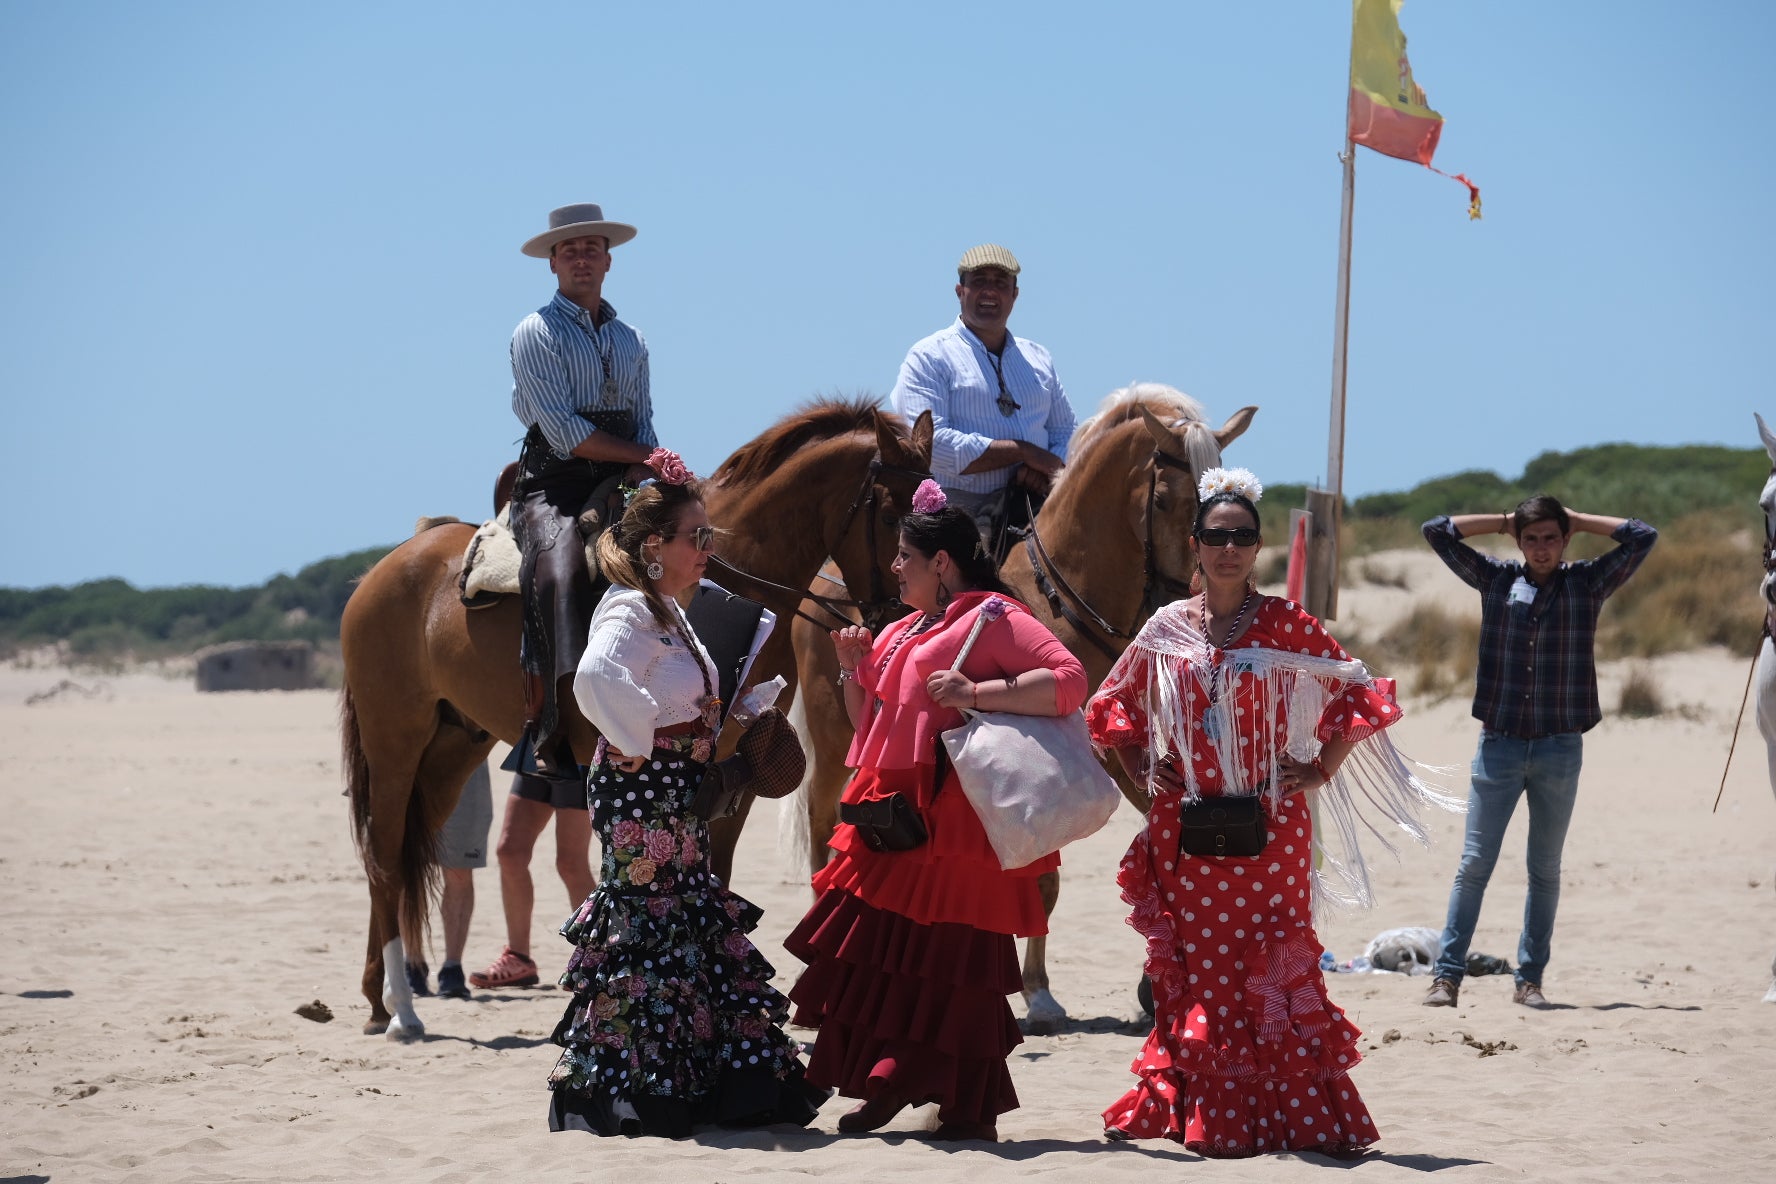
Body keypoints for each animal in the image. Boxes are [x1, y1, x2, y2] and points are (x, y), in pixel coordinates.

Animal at [337, 401, 937, 1036]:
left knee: (401, 855)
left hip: (451, 748)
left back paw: (379, 998)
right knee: (384, 855)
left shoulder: (735, 773)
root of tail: (385, 568)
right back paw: (400, 1007)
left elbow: (717, 873)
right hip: (394, 741)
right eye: (891, 515)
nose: (903, 615)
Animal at [784, 386, 1257, 1029]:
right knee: (821, 827)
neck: (1063, 603)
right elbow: (1046, 879)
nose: (1185, 595)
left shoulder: (1123, 755)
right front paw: (1037, 992)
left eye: (1215, 502)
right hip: (835, 739)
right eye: (1163, 499)